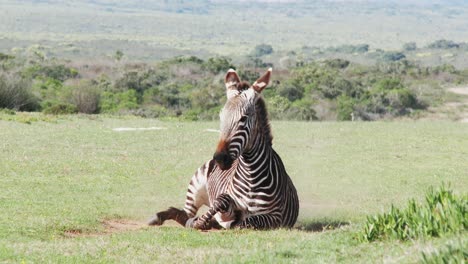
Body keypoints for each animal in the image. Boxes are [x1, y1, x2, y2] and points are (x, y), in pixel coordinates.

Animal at [150, 68, 300, 229]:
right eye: (221, 117)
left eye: (243, 118)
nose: (220, 159)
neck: (251, 174)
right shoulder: (225, 201)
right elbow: (220, 201)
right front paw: (201, 222)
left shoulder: (276, 217)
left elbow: (247, 221)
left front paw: (227, 222)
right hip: (195, 187)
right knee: (185, 213)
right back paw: (161, 217)